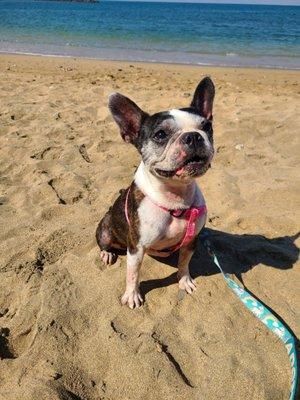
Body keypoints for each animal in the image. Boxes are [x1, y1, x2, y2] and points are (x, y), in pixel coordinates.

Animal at [96, 77, 216, 310]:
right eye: (160, 135)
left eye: (207, 127)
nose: (193, 136)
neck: (175, 197)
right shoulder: (136, 248)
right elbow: (133, 274)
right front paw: (132, 295)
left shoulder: (191, 241)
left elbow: (184, 263)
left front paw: (184, 280)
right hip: (105, 229)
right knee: (104, 242)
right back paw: (107, 253)